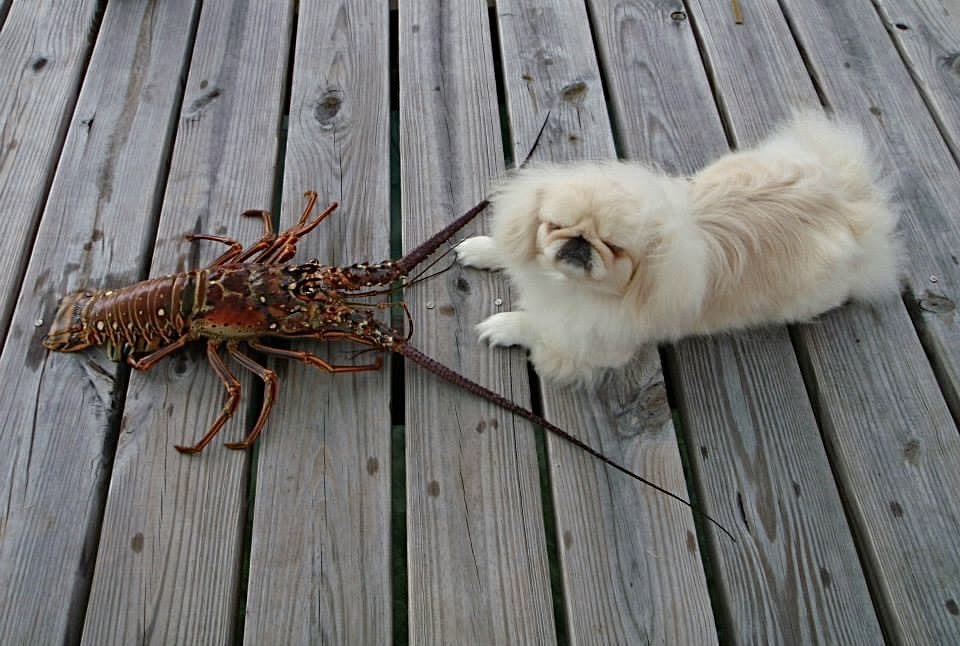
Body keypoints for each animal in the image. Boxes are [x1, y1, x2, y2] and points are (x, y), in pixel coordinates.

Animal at [456, 112, 900, 384]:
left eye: (613, 247)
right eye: (556, 226)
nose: (580, 244)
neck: (567, 285)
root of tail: (849, 207)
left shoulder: (597, 344)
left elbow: (540, 328)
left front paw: (505, 326)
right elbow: (509, 245)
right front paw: (482, 248)